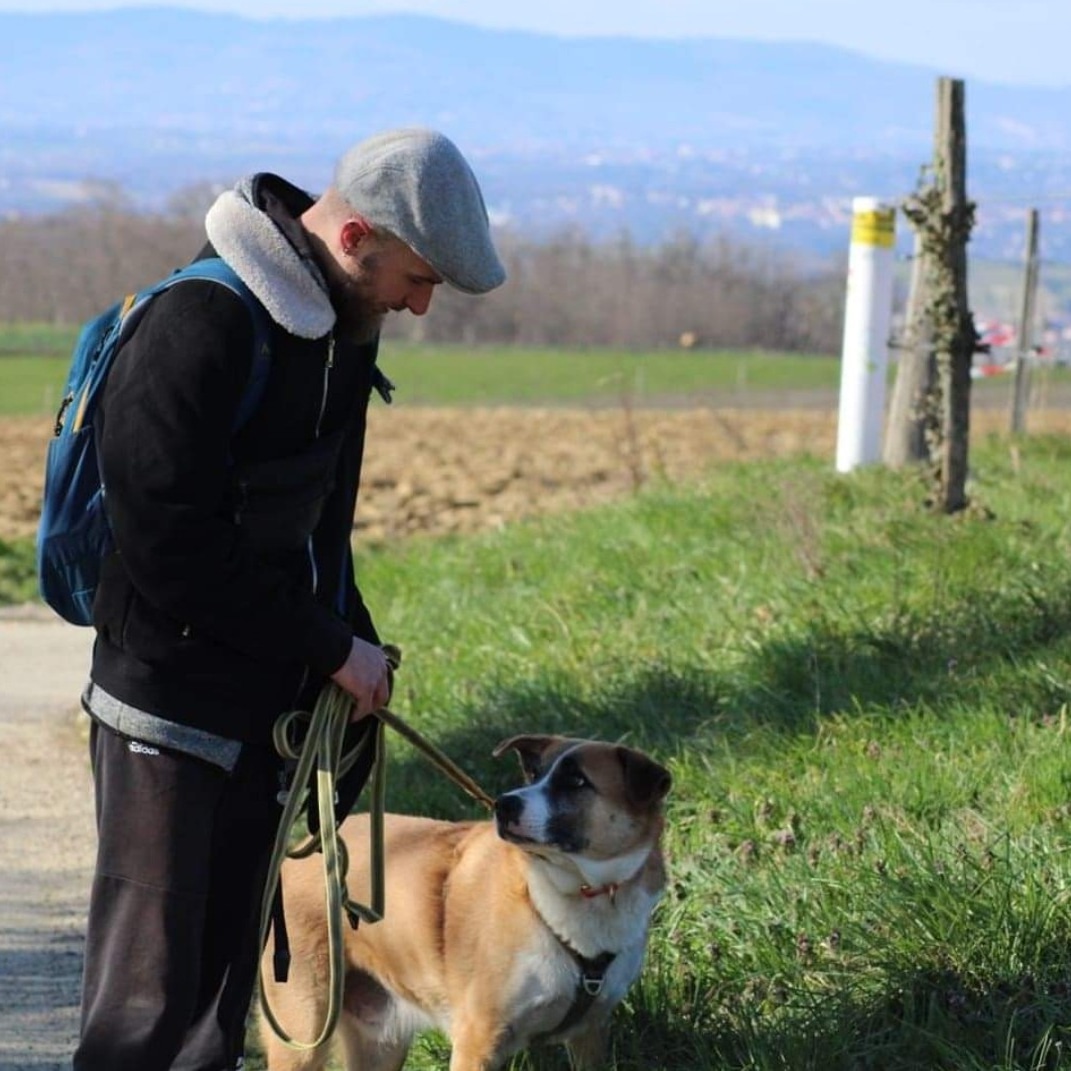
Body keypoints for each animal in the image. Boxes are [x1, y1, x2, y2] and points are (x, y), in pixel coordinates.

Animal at [258, 732, 668, 1071]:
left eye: (577, 781)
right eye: (533, 774)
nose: (504, 804)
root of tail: (296, 852)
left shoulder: (590, 1033)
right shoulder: (478, 1040)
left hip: (380, 1040)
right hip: (303, 1036)